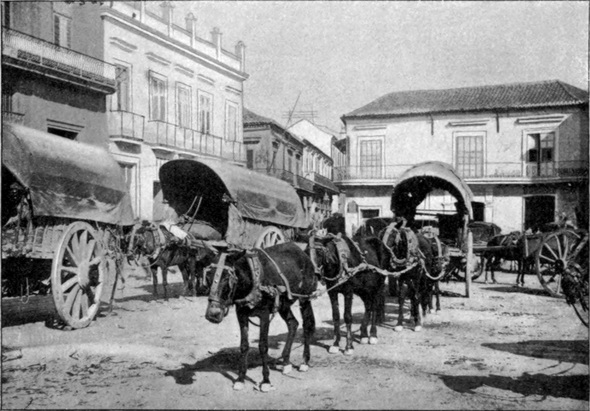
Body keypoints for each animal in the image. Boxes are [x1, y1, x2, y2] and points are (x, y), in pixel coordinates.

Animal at [204, 242, 317, 392]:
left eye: (227, 279)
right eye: (208, 278)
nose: (213, 314)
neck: (251, 279)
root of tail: (301, 251)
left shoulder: (264, 315)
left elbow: (263, 346)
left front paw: (266, 381)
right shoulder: (241, 314)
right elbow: (244, 345)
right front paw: (240, 379)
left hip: (305, 298)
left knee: (307, 325)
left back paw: (304, 362)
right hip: (283, 304)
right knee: (293, 324)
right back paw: (286, 362)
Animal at [309, 214, 390, 355]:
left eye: (319, 252)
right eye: (305, 251)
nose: (314, 274)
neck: (340, 262)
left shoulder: (348, 292)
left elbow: (347, 317)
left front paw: (348, 346)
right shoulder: (332, 292)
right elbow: (335, 316)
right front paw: (335, 344)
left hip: (377, 286)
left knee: (375, 306)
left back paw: (373, 335)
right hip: (364, 289)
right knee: (368, 306)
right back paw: (363, 334)